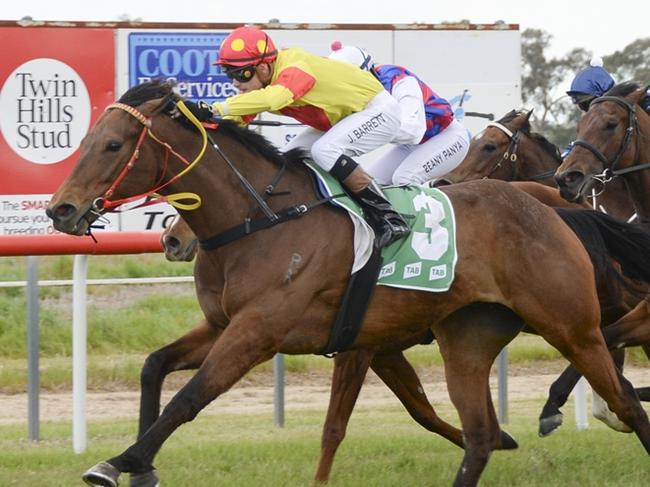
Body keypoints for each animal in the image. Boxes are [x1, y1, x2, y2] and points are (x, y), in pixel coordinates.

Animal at [48, 82, 648, 487]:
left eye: (113, 145)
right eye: (91, 139)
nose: (61, 209)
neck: (263, 220)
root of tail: (556, 210)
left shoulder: (265, 331)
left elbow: (194, 398)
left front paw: (119, 461)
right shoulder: (228, 324)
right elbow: (155, 366)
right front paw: (141, 466)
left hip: (570, 324)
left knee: (623, 397)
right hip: (470, 336)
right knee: (478, 432)